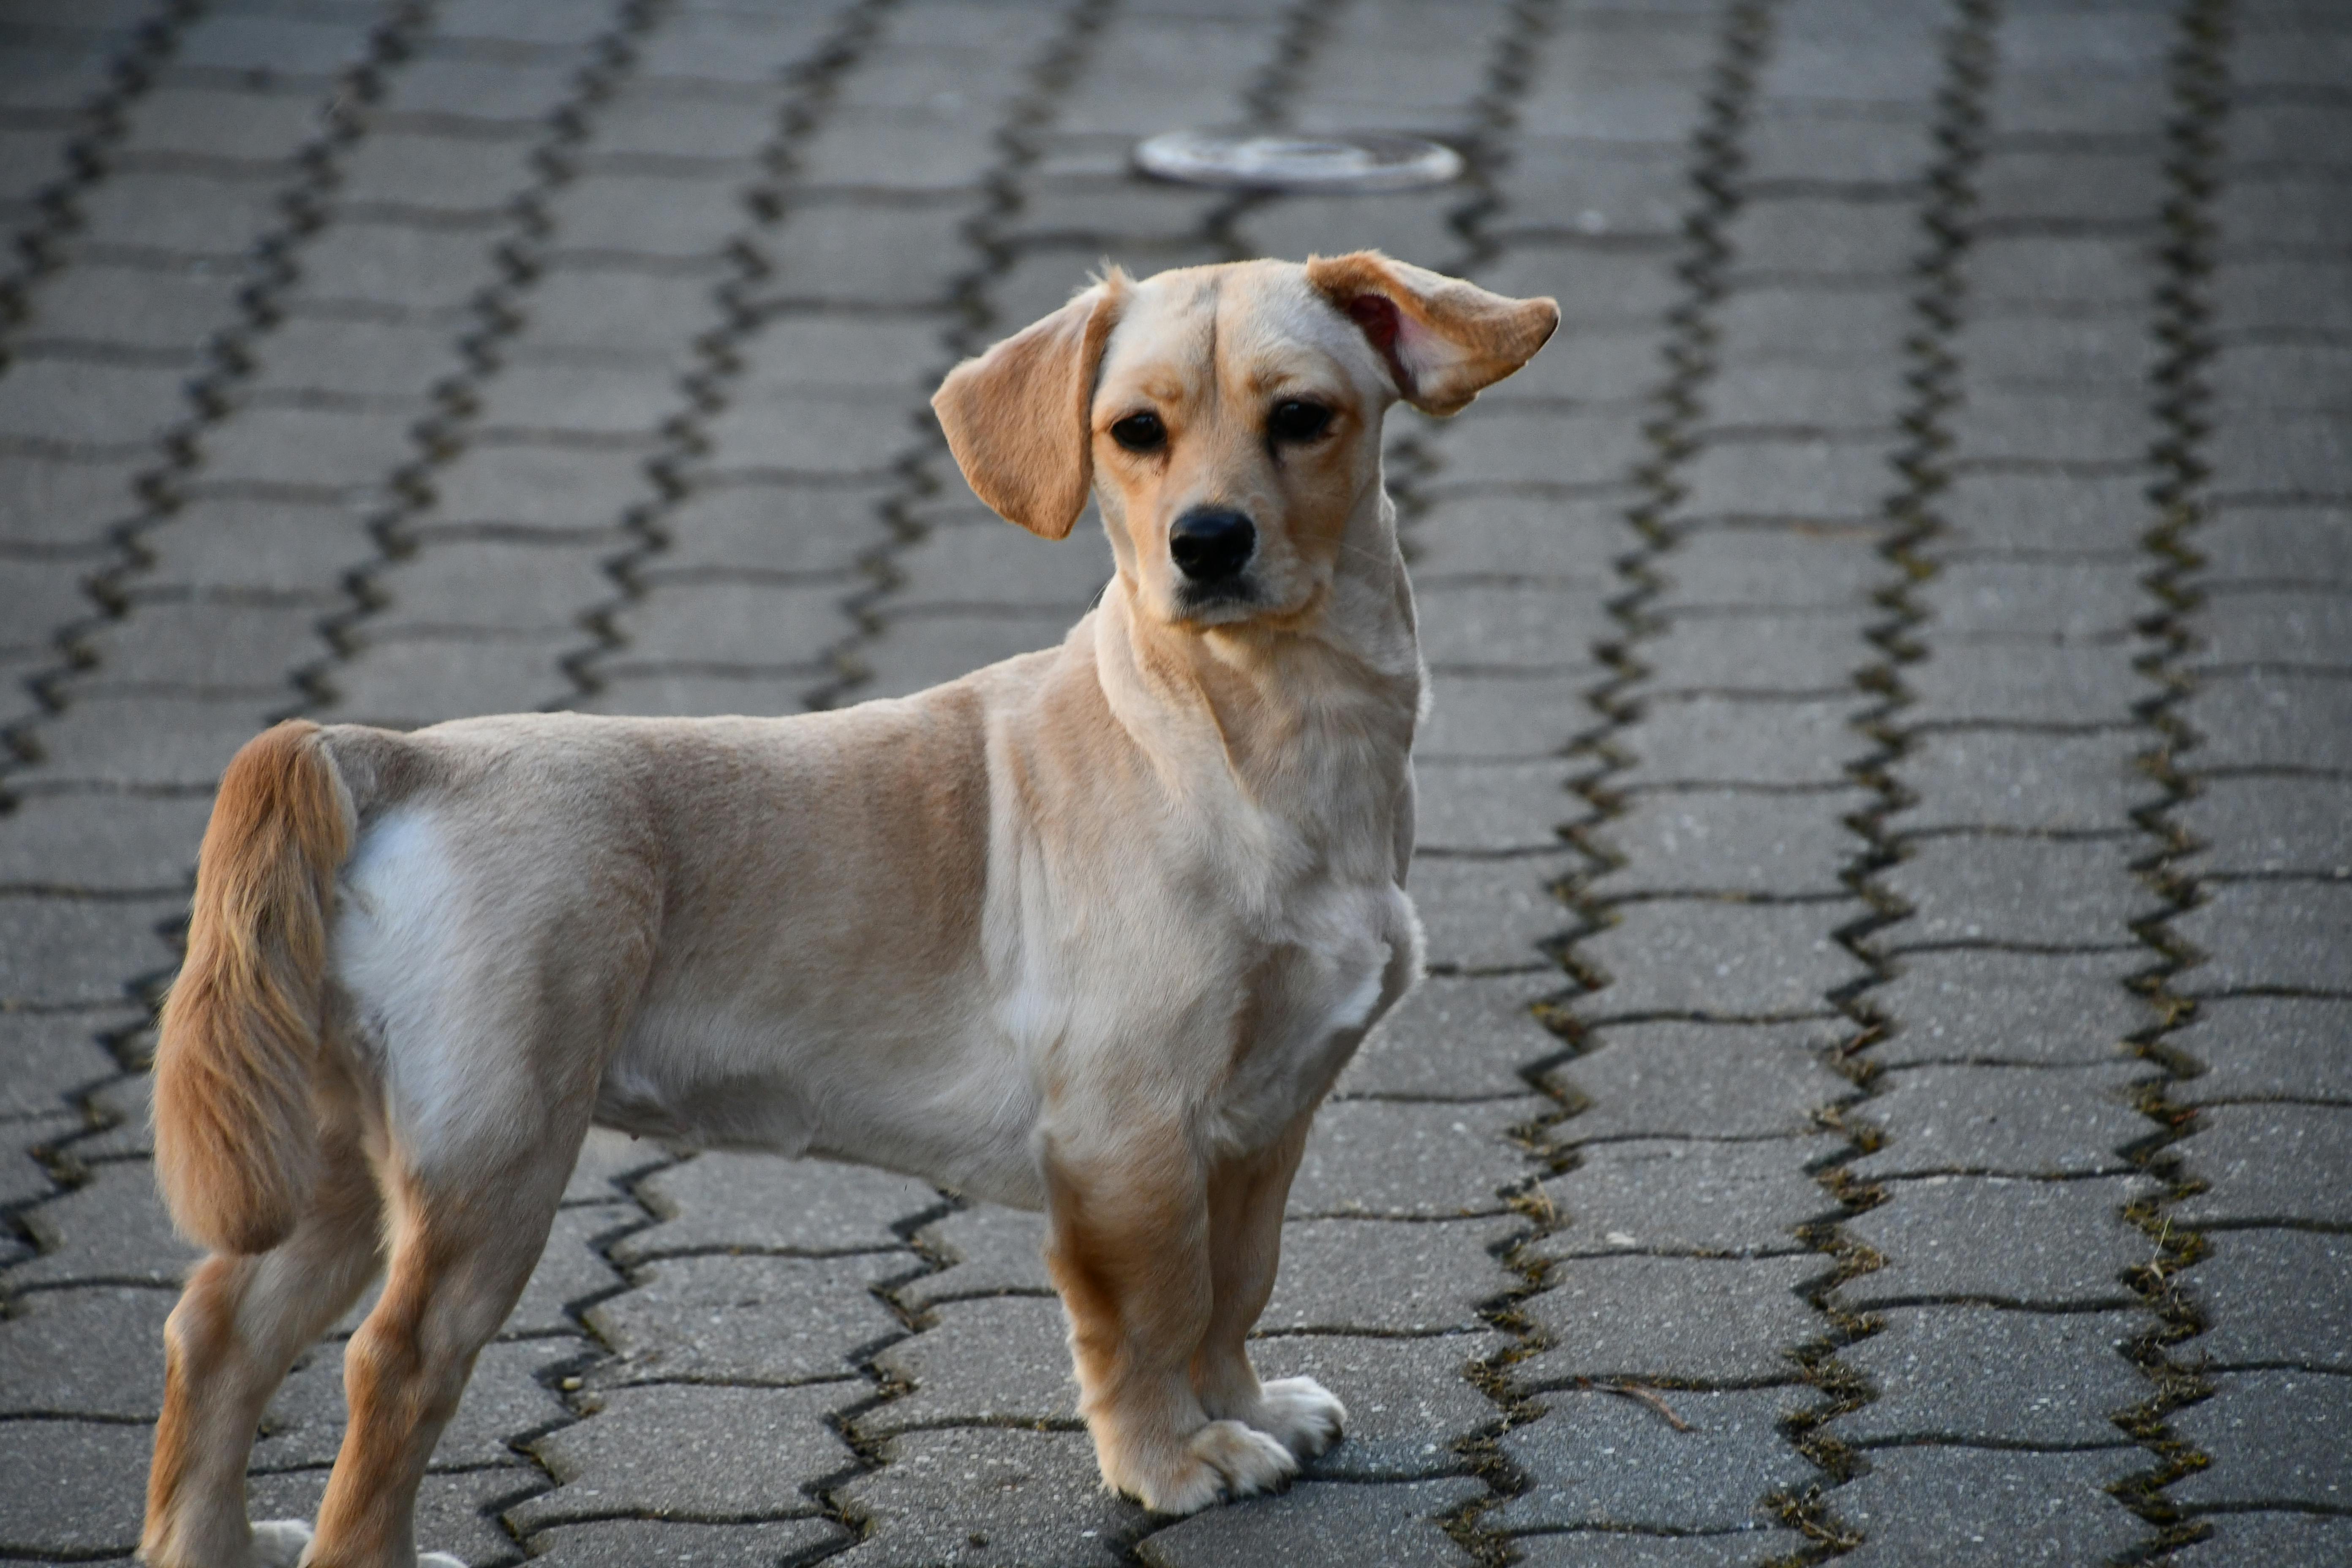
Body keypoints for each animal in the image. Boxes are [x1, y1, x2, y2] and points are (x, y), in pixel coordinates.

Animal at [137, 251, 1552, 1561]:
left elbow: (1234, 1286)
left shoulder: (1265, 1118)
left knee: (218, 1331)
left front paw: (1245, 1409)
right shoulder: (1126, 1133)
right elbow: (1151, 1313)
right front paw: (1175, 1455)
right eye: (1133, 432)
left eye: (1303, 417)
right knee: (391, 1363)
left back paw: (215, 1542)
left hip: (332, 1162)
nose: (1207, 541)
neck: (1257, 740)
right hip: (493, 1156)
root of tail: (393, 754)